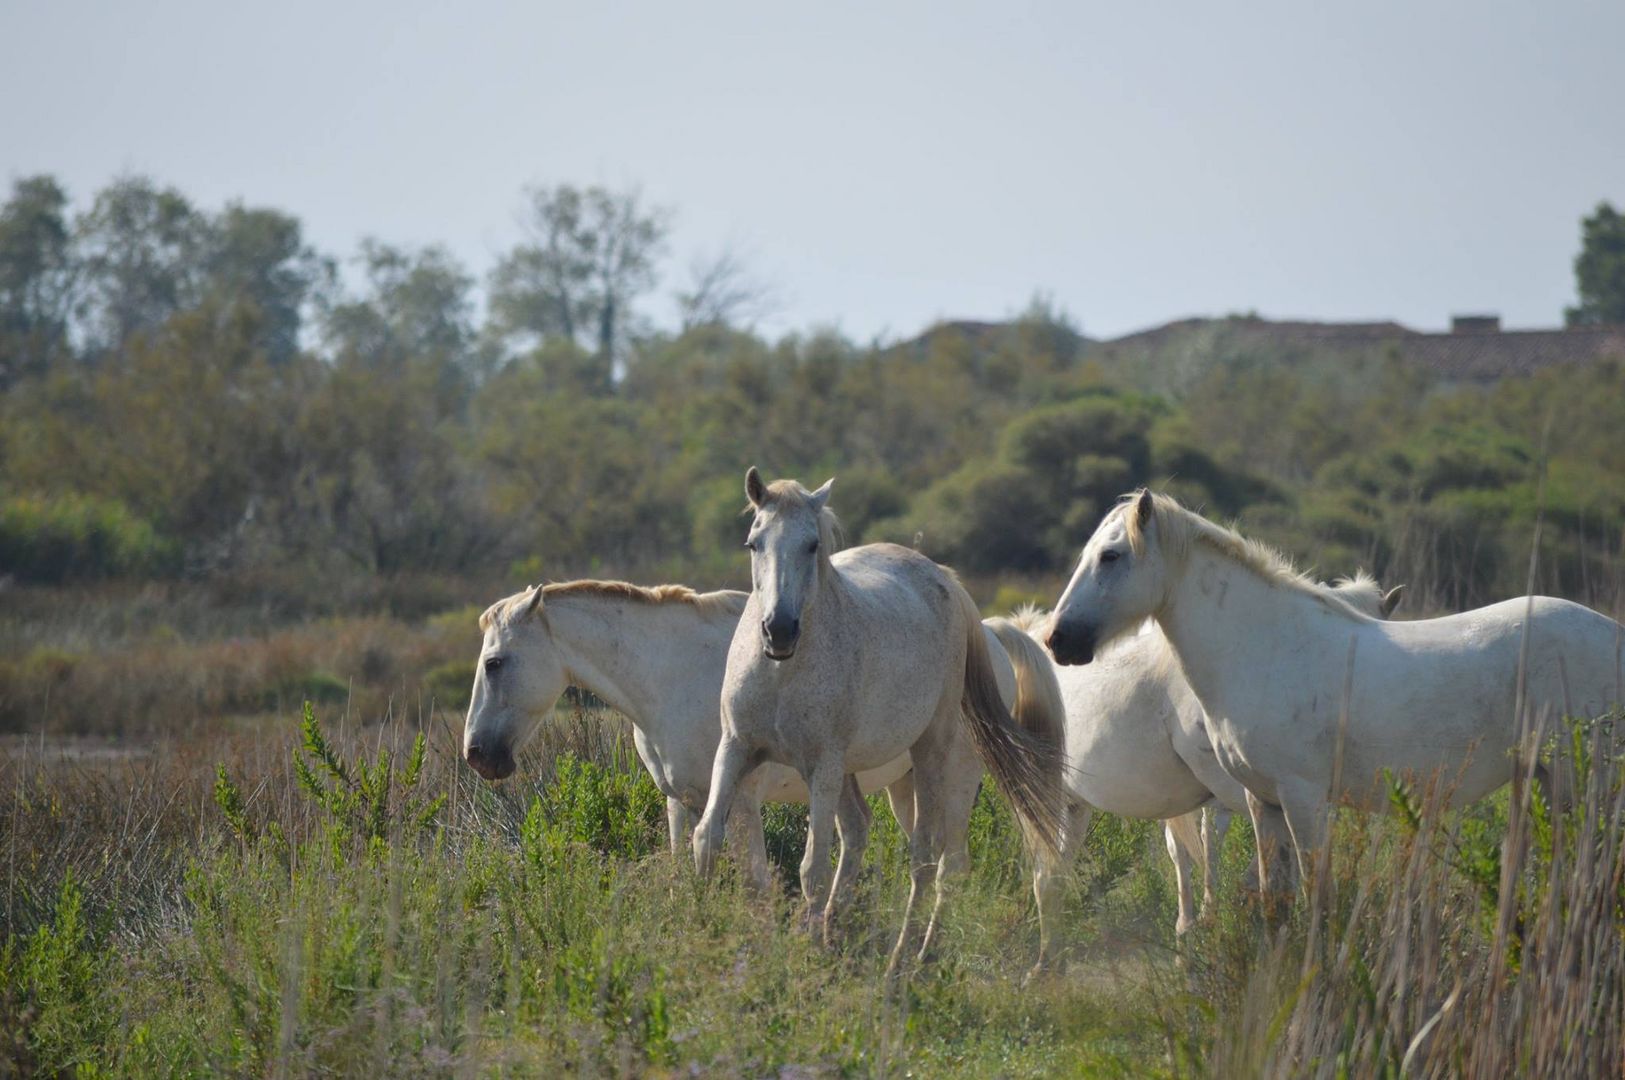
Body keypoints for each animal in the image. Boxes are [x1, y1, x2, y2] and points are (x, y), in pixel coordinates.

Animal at [695, 467, 1066, 974]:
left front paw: (807, 959)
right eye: (754, 543)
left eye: (812, 545)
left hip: (937, 763)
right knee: (865, 833)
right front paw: (692, 929)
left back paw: (906, 959)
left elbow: (812, 867)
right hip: (880, 778)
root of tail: (948, 585)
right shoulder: (735, 748)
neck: (782, 672)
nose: (779, 630)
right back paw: (843, 936)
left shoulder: (822, 767)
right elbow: (706, 835)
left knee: (932, 860)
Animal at [1046, 487, 1618, 883]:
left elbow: (1316, 890)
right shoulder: (1264, 803)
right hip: (1541, 782)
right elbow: (1273, 899)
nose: (1057, 640)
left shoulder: (1305, 799)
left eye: (1111, 556)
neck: (1266, 648)